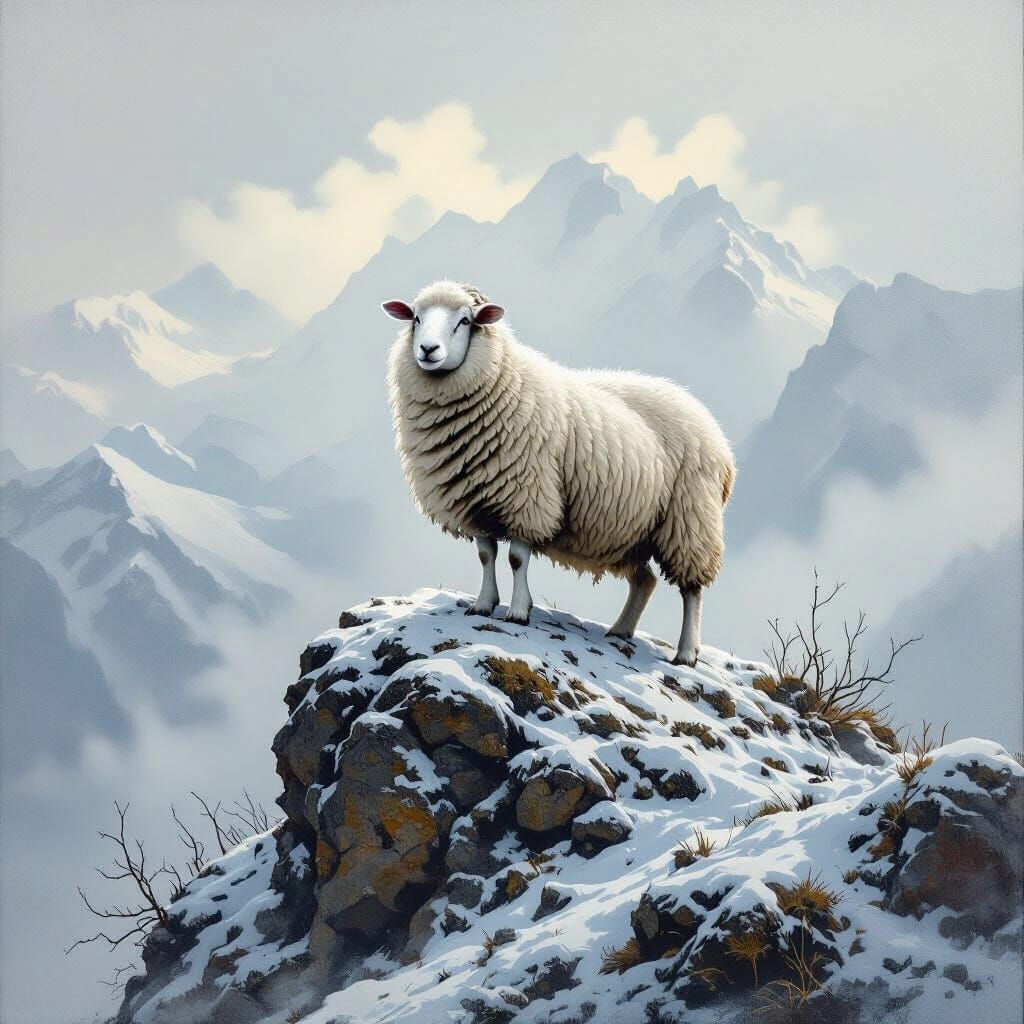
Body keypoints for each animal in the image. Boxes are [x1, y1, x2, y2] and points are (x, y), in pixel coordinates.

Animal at [383, 280, 735, 667]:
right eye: (416, 318)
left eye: (465, 320)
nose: (427, 350)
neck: (503, 379)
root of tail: (715, 431)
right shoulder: (474, 501)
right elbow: (486, 556)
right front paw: (483, 605)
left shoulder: (527, 497)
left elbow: (516, 558)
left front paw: (518, 611)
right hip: (634, 532)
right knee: (644, 581)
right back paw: (620, 631)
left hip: (690, 520)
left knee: (692, 590)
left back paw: (686, 653)